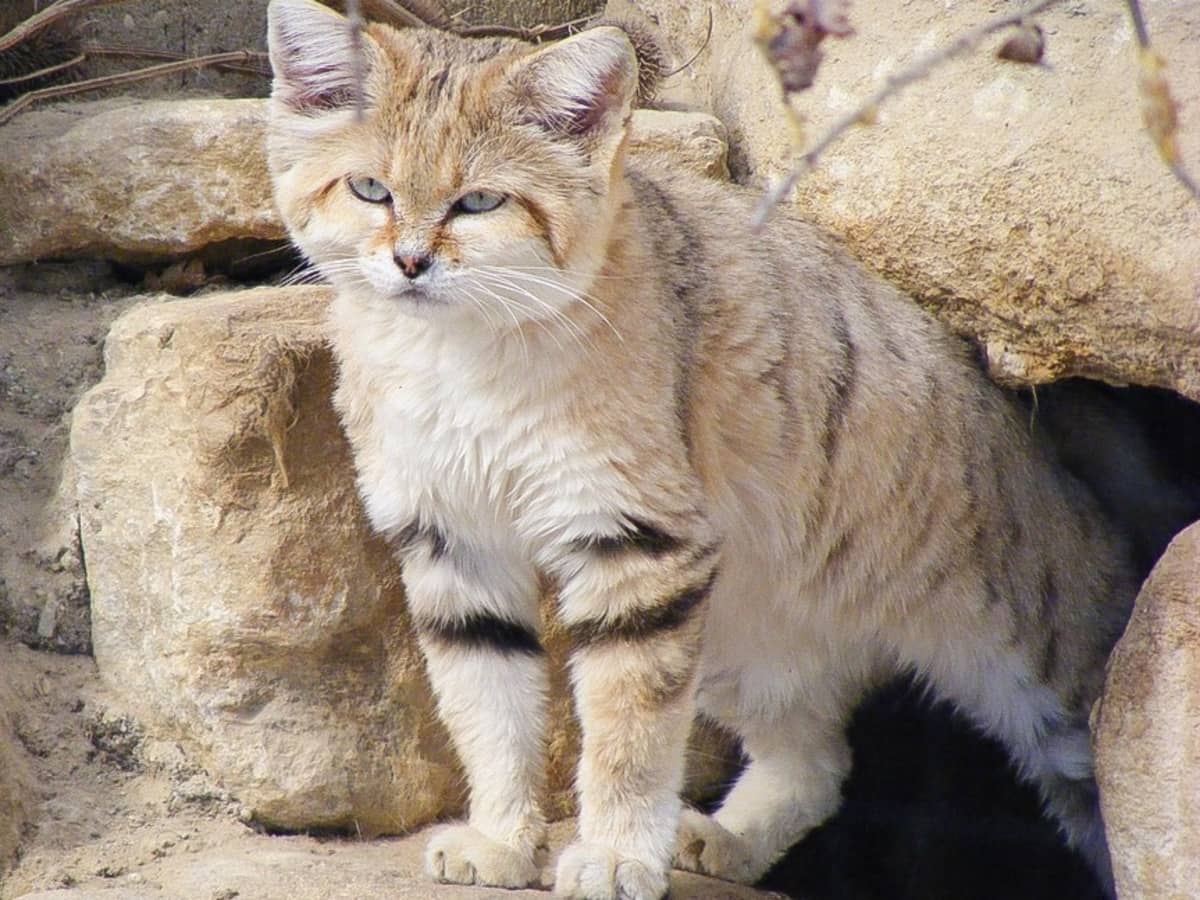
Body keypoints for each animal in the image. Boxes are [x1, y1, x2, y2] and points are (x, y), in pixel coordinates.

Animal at [265, 3, 1132, 897]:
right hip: (741, 634)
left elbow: (627, 733)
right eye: (371, 189)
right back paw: (727, 840)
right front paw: (502, 841)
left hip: (1039, 668)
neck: (456, 355)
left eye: (479, 202)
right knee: (817, 762)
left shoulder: (635, 545)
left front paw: (614, 854)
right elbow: (489, 709)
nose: (409, 262)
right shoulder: (454, 543)